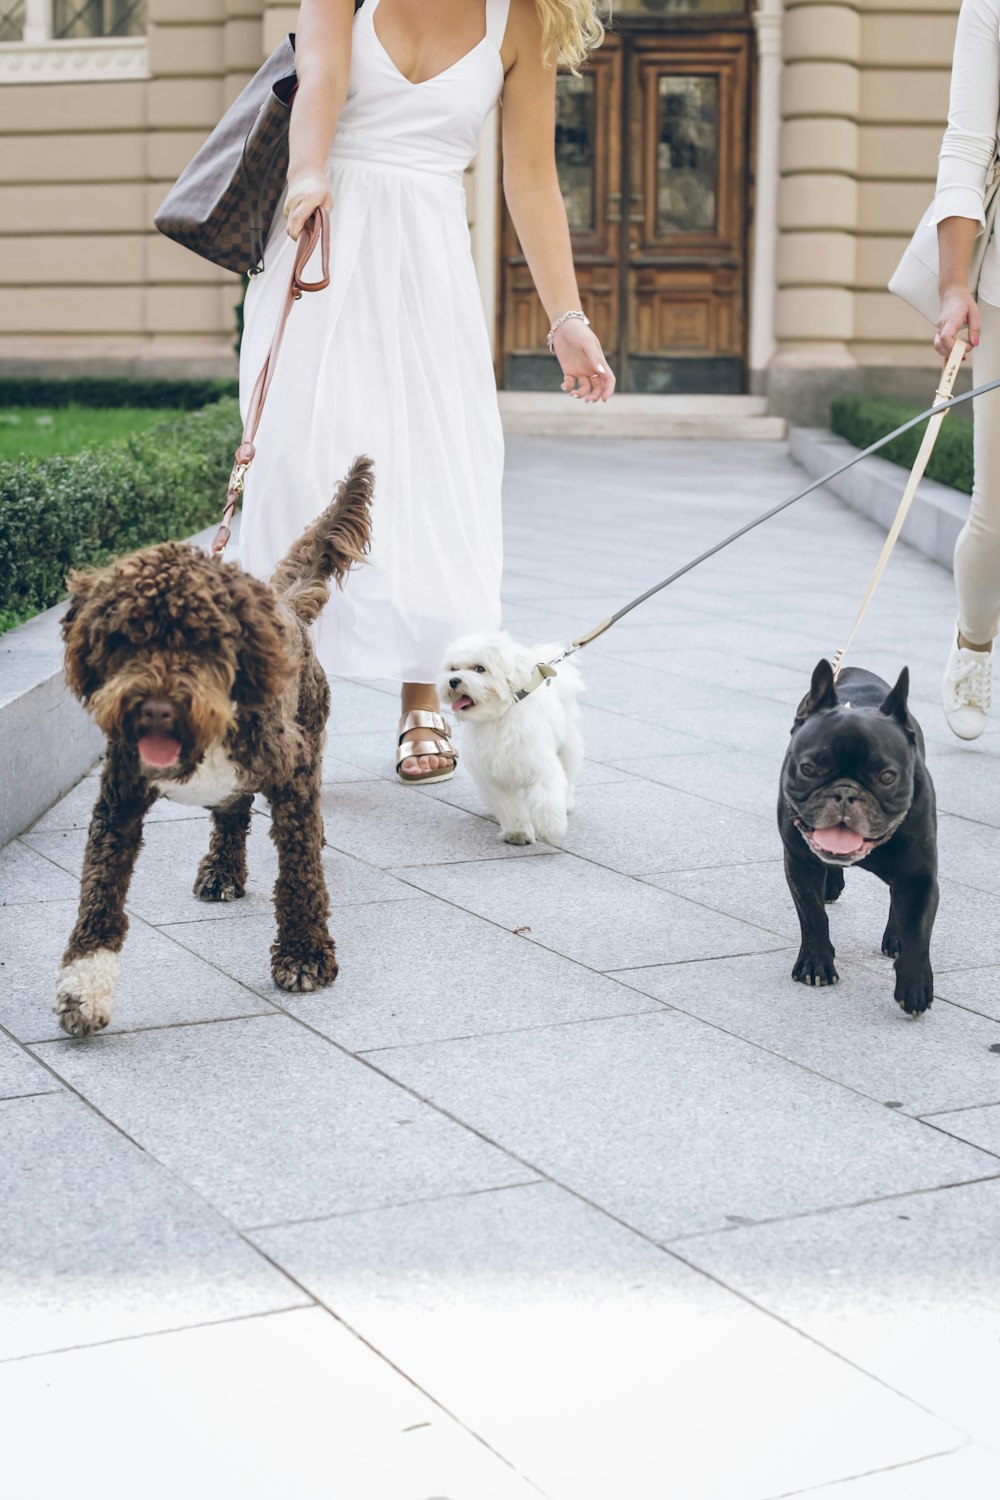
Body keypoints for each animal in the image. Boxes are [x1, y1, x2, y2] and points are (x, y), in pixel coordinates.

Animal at [55, 456, 374, 1038]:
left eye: (203, 641)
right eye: (124, 639)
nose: (155, 709)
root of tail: (284, 602)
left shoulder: (292, 772)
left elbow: (300, 874)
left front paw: (304, 954)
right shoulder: (118, 799)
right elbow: (99, 892)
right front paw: (82, 990)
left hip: (310, 728)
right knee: (231, 814)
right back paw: (221, 871)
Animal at [440, 630, 587, 846]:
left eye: (480, 669)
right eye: (453, 669)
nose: (453, 680)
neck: (497, 717)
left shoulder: (540, 765)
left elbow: (547, 799)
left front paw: (552, 830)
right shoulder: (492, 778)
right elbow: (509, 807)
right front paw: (518, 833)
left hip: (568, 746)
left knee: (568, 775)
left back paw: (566, 803)